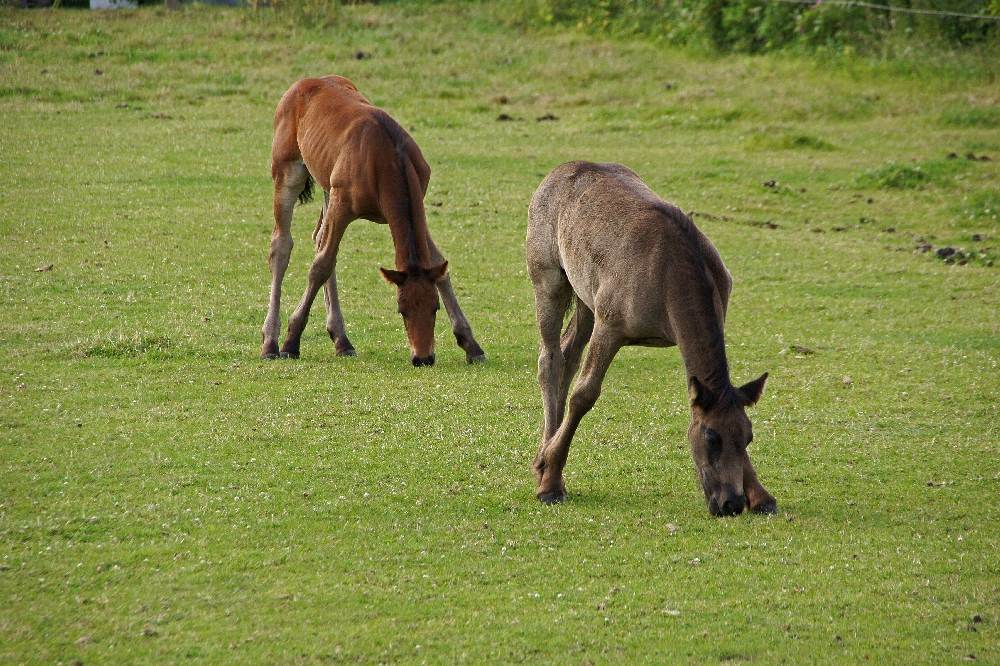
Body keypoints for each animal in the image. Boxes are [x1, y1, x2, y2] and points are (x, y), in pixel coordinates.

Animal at [264, 78, 486, 368]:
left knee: (319, 238)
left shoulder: (416, 203)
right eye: (401, 309)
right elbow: (321, 265)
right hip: (288, 170)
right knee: (282, 245)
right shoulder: (342, 205)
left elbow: (439, 263)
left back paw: (341, 340)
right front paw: (291, 342)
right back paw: (270, 342)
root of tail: (306, 82)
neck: (388, 155)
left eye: (434, 307)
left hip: (326, 184)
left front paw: (471, 344)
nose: (423, 358)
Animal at [528, 161, 776, 512]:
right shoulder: (610, 327)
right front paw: (550, 482)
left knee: (568, 355)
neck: (672, 273)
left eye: (748, 437)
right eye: (711, 438)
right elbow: (584, 395)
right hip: (549, 279)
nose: (731, 503)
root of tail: (561, 169)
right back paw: (545, 464)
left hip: (586, 299)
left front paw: (761, 495)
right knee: (550, 360)